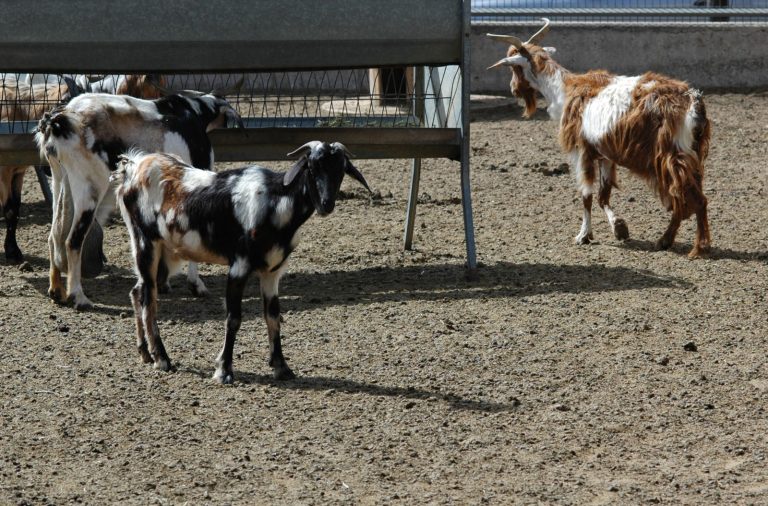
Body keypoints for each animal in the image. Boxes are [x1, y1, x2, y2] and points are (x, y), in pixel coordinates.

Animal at [33, 83, 240, 308]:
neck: (193, 112)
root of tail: (59, 118)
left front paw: (163, 281)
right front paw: (196, 285)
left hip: (61, 183)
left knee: (54, 236)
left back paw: (57, 291)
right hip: (90, 191)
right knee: (72, 241)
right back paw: (79, 297)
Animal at [113, 141, 372, 384]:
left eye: (341, 169)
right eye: (312, 166)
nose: (327, 204)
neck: (275, 201)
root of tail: (133, 168)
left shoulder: (272, 272)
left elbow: (273, 316)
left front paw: (282, 367)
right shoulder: (239, 267)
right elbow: (234, 318)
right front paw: (224, 370)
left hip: (167, 254)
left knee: (137, 292)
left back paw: (145, 353)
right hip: (146, 243)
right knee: (149, 301)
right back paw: (162, 359)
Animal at [488, 19, 712, 256]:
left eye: (513, 67)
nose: (513, 89)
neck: (563, 89)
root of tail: (692, 100)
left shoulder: (581, 152)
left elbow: (586, 195)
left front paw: (583, 236)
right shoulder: (605, 154)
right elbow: (603, 195)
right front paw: (619, 228)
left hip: (673, 154)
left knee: (691, 198)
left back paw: (694, 246)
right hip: (691, 154)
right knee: (687, 196)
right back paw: (668, 241)